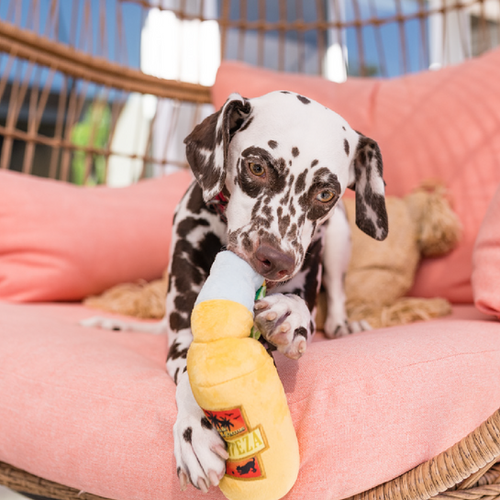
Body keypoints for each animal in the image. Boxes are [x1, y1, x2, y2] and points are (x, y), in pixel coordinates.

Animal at [82, 92, 388, 494]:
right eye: (256, 167)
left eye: (325, 193)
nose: (275, 260)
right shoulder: (182, 337)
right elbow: (190, 373)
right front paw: (195, 433)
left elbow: (302, 308)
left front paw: (290, 315)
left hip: (338, 236)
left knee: (335, 295)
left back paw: (342, 325)